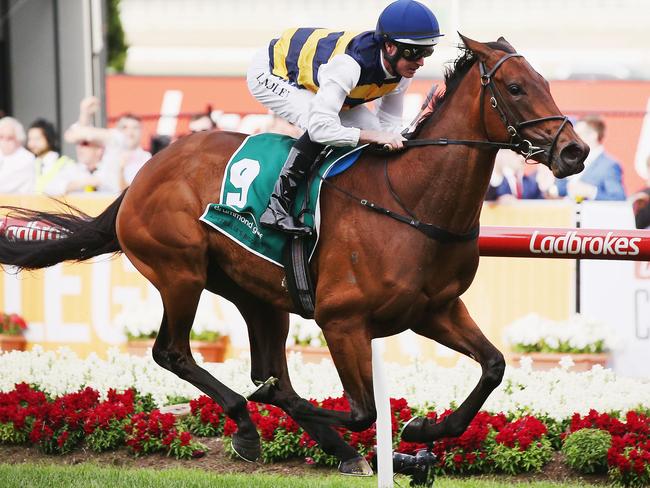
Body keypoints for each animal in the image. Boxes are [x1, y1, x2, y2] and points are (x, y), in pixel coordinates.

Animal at [0, 35, 588, 476]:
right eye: (516, 87)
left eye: (545, 83)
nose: (574, 150)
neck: (410, 201)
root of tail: (144, 174)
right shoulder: (342, 320)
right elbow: (361, 409)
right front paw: (382, 435)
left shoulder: (435, 309)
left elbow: (493, 366)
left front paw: (425, 429)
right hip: (179, 272)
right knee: (175, 353)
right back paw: (249, 420)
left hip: (258, 294)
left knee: (267, 366)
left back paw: (320, 443)